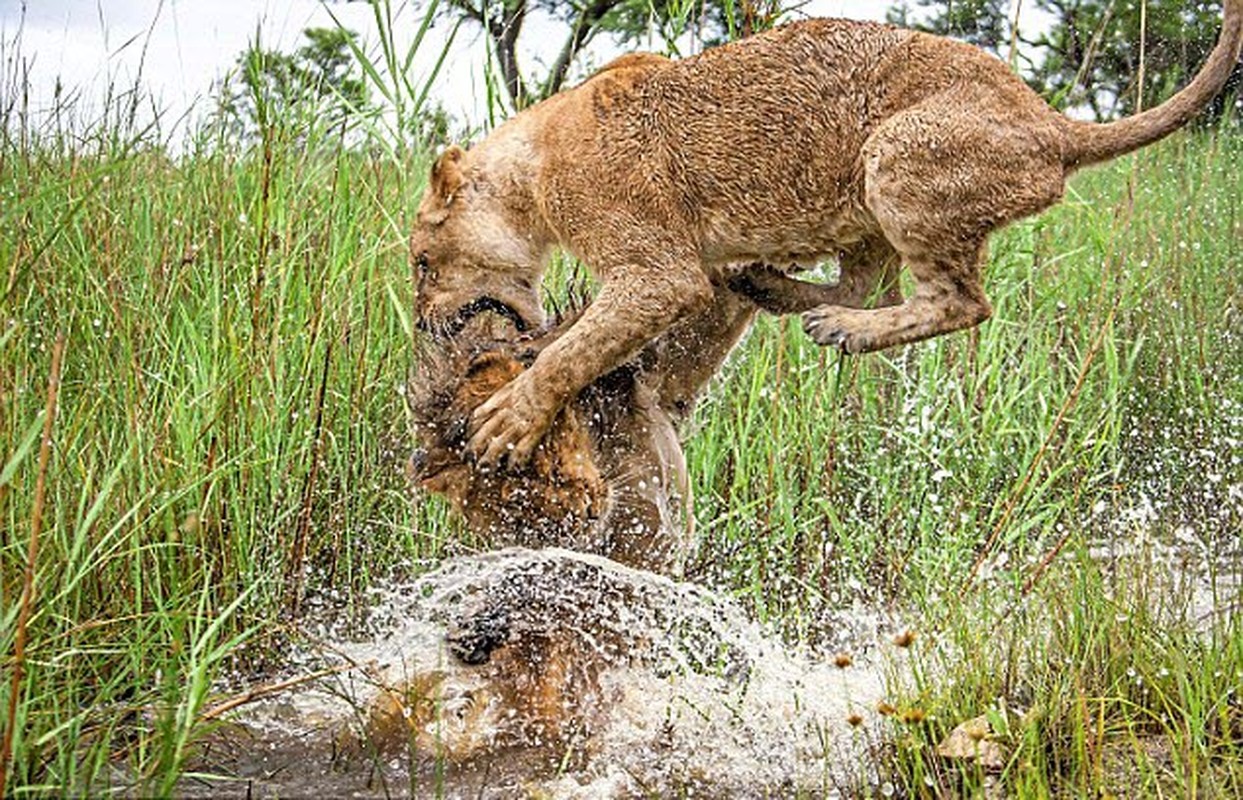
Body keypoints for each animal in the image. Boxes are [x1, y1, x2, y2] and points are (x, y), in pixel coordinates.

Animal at [410, 4, 1243, 469]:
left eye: (421, 263)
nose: (422, 321)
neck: (529, 165)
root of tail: (1052, 123)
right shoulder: (680, 274)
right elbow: (594, 334)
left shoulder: (657, 269)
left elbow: (579, 349)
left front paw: (508, 420)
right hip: (861, 203)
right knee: (871, 284)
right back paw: (774, 286)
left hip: (896, 154)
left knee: (959, 302)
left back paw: (840, 326)